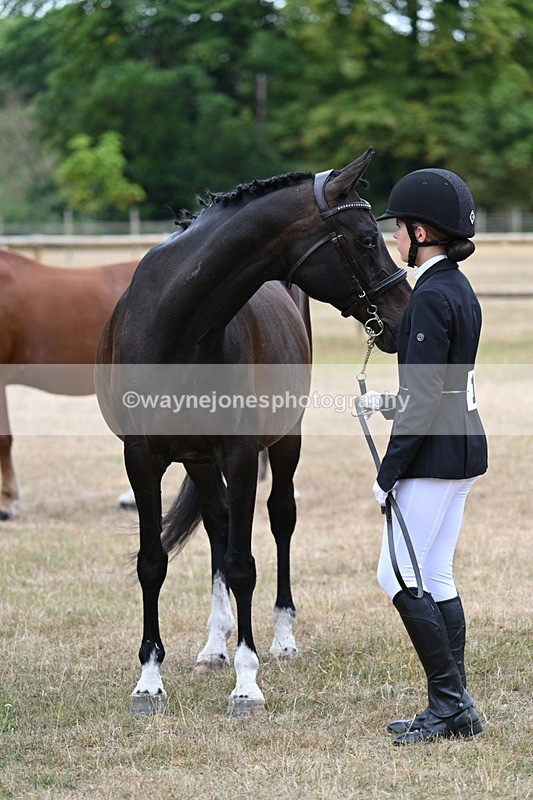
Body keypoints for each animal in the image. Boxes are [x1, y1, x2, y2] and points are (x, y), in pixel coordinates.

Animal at [95, 147, 411, 717]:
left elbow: (244, 564)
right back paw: (213, 645)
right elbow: (154, 562)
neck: (176, 326)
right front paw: (149, 680)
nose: (401, 314)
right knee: (218, 527)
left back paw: (281, 638)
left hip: (285, 443)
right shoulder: (142, 459)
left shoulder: (242, 456)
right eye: (366, 239)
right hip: (199, 461)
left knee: (281, 519)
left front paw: (247, 684)